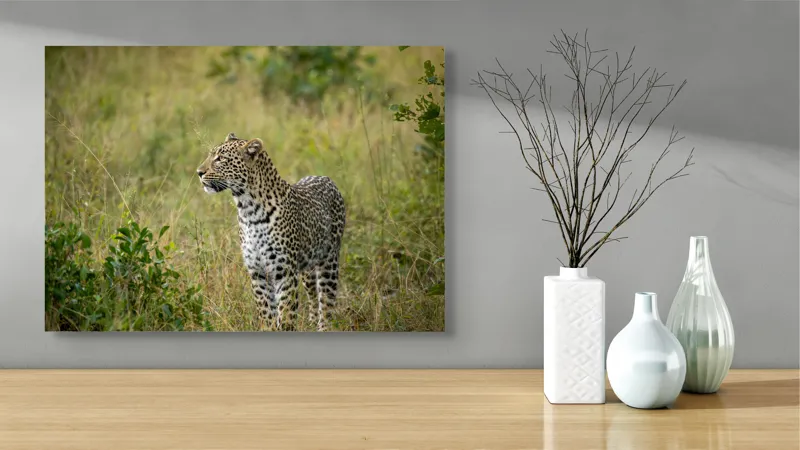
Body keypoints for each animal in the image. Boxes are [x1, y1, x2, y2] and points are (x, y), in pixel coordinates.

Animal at [196, 132, 346, 331]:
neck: (248, 210)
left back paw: (324, 327)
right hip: (307, 267)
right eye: (211, 155)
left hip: (329, 261)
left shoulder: (285, 272)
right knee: (313, 296)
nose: (199, 172)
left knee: (327, 302)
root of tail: (326, 178)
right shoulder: (258, 273)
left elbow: (287, 314)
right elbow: (266, 313)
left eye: (220, 159)